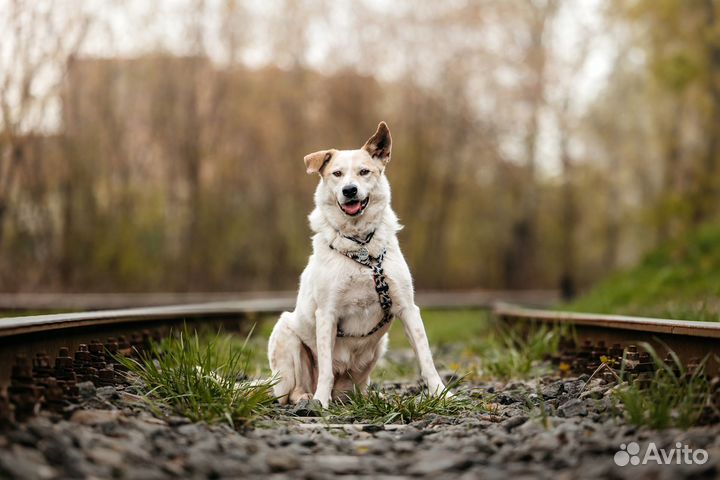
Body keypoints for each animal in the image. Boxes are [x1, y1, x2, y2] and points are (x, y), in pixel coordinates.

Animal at [268, 122, 448, 406]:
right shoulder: (327, 314)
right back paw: (308, 397)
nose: (349, 190)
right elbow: (327, 368)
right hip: (287, 336)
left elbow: (426, 358)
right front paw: (320, 402)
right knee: (294, 390)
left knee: (359, 386)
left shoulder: (408, 308)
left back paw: (368, 398)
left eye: (364, 172)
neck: (362, 248)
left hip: (378, 349)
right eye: (337, 174)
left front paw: (442, 394)